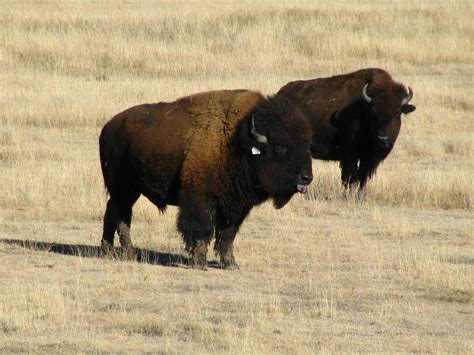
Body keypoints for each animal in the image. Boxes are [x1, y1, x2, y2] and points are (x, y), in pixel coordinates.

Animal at [99, 90, 314, 272]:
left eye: (306, 145)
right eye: (281, 147)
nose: (307, 177)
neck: (238, 142)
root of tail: (107, 127)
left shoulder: (236, 207)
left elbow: (227, 236)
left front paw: (231, 264)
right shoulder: (200, 200)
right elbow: (202, 230)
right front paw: (199, 263)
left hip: (128, 190)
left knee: (113, 212)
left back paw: (109, 249)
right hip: (123, 188)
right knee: (121, 215)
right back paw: (126, 251)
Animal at [278, 67, 414, 189]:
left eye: (397, 114)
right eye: (374, 113)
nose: (383, 139)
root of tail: (280, 94)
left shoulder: (367, 158)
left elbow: (362, 178)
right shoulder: (349, 154)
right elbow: (351, 177)